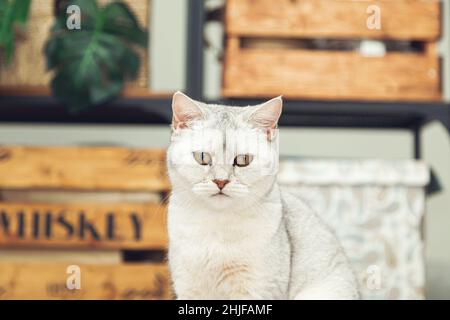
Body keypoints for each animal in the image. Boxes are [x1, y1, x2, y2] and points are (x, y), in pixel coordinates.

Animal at [167, 92, 360, 300]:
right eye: (202, 157)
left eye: (243, 160)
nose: (221, 181)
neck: (217, 225)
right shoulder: (189, 288)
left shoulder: (258, 288)